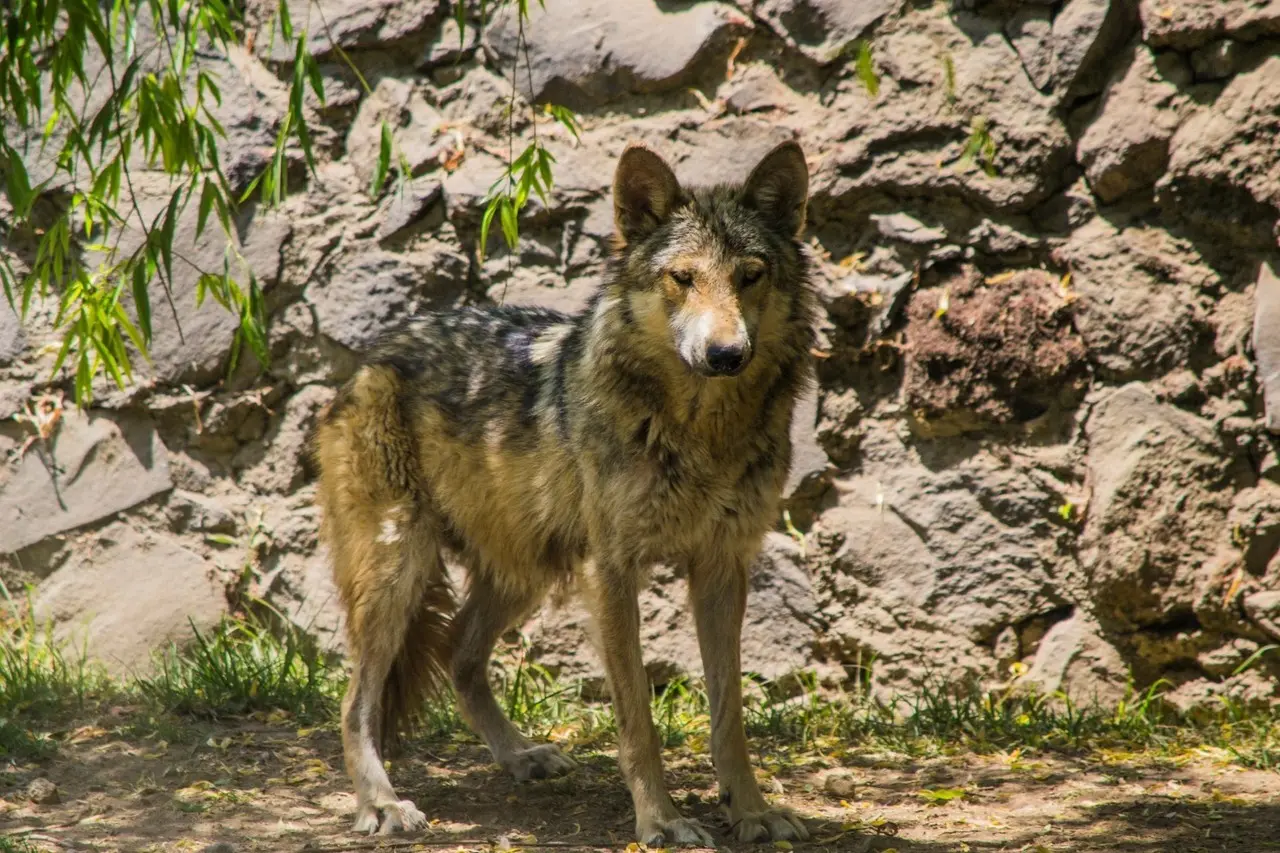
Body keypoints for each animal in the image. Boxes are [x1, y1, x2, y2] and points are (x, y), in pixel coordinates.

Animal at [317, 139, 819, 845]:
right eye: (683, 278)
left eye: (750, 275)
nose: (725, 354)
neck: (701, 432)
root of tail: (373, 356)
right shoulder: (611, 570)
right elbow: (637, 718)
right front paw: (661, 820)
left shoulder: (722, 567)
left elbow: (730, 717)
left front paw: (750, 812)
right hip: (400, 568)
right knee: (355, 699)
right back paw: (381, 804)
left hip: (529, 567)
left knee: (459, 653)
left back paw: (521, 756)